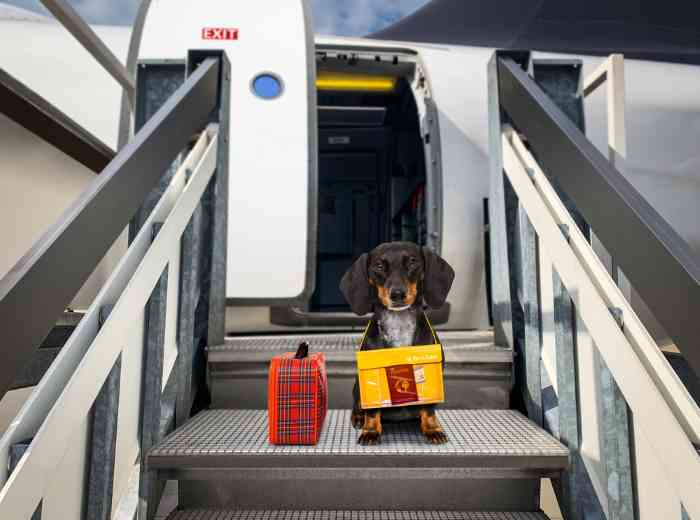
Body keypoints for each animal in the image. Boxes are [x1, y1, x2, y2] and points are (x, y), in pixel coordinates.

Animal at [338, 242, 454, 444]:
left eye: (413, 262)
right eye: (378, 266)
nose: (398, 294)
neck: (399, 326)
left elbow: (429, 408)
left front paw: (432, 428)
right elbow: (373, 411)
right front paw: (370, 430)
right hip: (357, 385)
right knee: (358, 404)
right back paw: (359, 417)